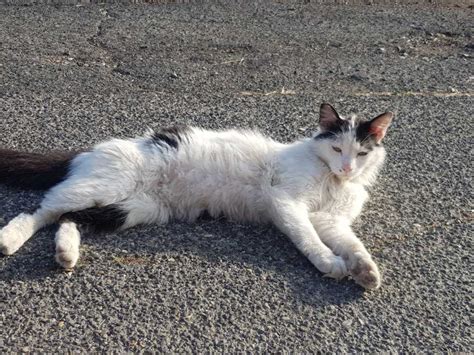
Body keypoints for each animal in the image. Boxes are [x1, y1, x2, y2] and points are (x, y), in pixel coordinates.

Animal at [0, 103, 392, 290]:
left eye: (361, 153)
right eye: (337, 148)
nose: (347, 168)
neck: (332, 181)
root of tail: (90, 150)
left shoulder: (331, 220)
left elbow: (354, 245)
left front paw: (366, 271)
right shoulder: (286, 202)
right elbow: (308, 238)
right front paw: (329, 262)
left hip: (131, 208)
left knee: (69, 219)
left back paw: (66, 254)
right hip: (104, 188)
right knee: (41, 210)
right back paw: (10, 239)